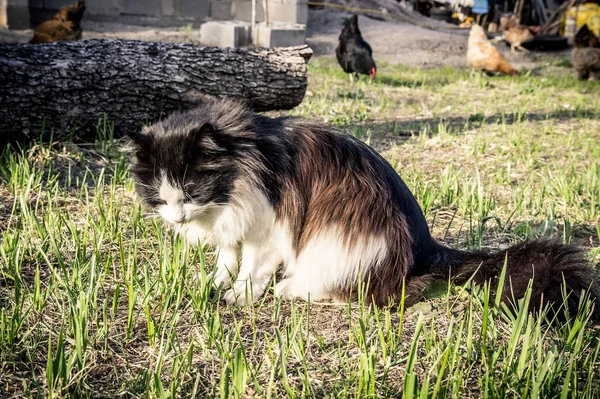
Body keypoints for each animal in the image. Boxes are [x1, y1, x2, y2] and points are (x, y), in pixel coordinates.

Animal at [127, 98, 600, 318]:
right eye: (161, 196)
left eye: (191, 189)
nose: (176, 217)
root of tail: (426, 247)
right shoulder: (231, 228)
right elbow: (226, 258)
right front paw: (214, 283)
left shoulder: (268, 231)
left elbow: (250, 270)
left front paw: (240, 296)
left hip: (337, 237)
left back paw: (291, 288)